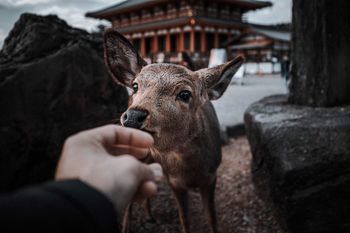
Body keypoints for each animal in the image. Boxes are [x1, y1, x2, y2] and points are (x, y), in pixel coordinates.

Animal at [104, 29, 243, 233]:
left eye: (185, 94)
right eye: (136, 86)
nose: (133, 116)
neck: (190, 171)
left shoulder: (211, 176)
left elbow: (212, 218)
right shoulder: (174, 181)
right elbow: (184, 218)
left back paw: (150, 216)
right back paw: (127, 226)